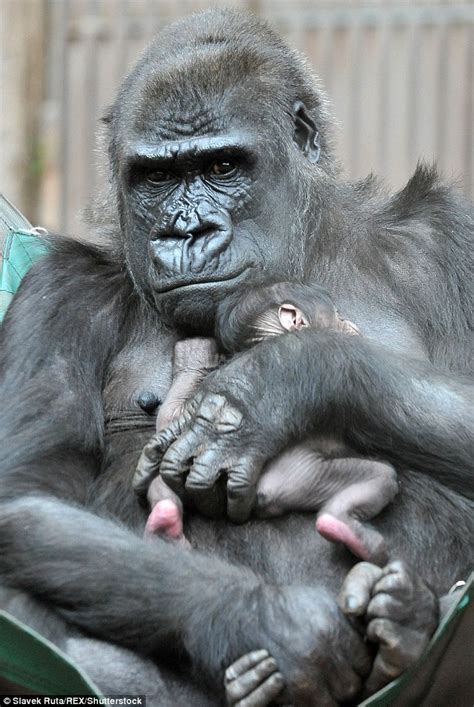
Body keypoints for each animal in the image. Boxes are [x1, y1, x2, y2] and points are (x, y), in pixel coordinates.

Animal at [138, 282, 400, 564]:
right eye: (337, 316)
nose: (350, 324)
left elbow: (172, 415)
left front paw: (194, 358)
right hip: (306, 476)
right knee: (379, 477)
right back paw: (349, 530)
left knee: (162, 484)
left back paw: (164, 524)